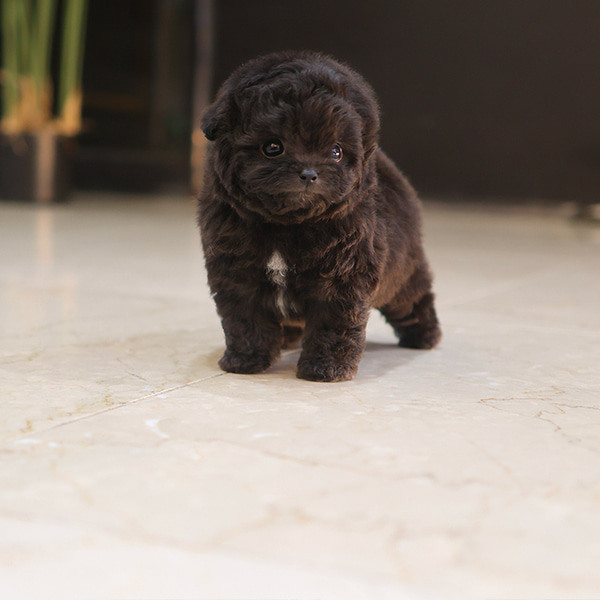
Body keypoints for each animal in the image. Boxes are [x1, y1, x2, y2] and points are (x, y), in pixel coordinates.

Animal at [198, 51, 441, 382]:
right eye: (272, 147)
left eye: (336, 152)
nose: (309, 173)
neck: (285, 225)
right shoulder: (237, 272)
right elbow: (245, 319)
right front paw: (245, 360)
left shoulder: (342, 275)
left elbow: (334, 323)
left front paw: (326, 368)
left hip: (402, 273)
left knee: (413, 298)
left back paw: (424, 335)